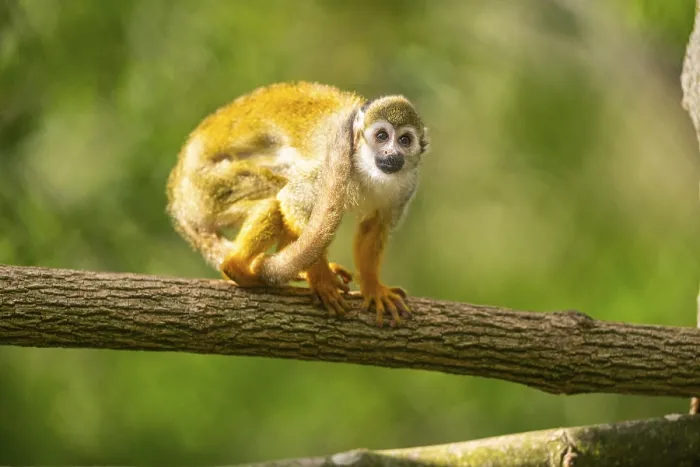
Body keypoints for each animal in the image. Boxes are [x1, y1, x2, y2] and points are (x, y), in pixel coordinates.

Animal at [166, 81, 429, 327]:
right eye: (382, 136)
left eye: (405, 140)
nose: (391, 153)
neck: (367, 169)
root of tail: (178, 194)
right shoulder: (332, 165)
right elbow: (293, 199)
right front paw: (322, 278)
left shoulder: (407, 186)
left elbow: (374, 227)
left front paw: (373, 288)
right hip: (208, 187)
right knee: (275, 200)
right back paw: (237, 268)